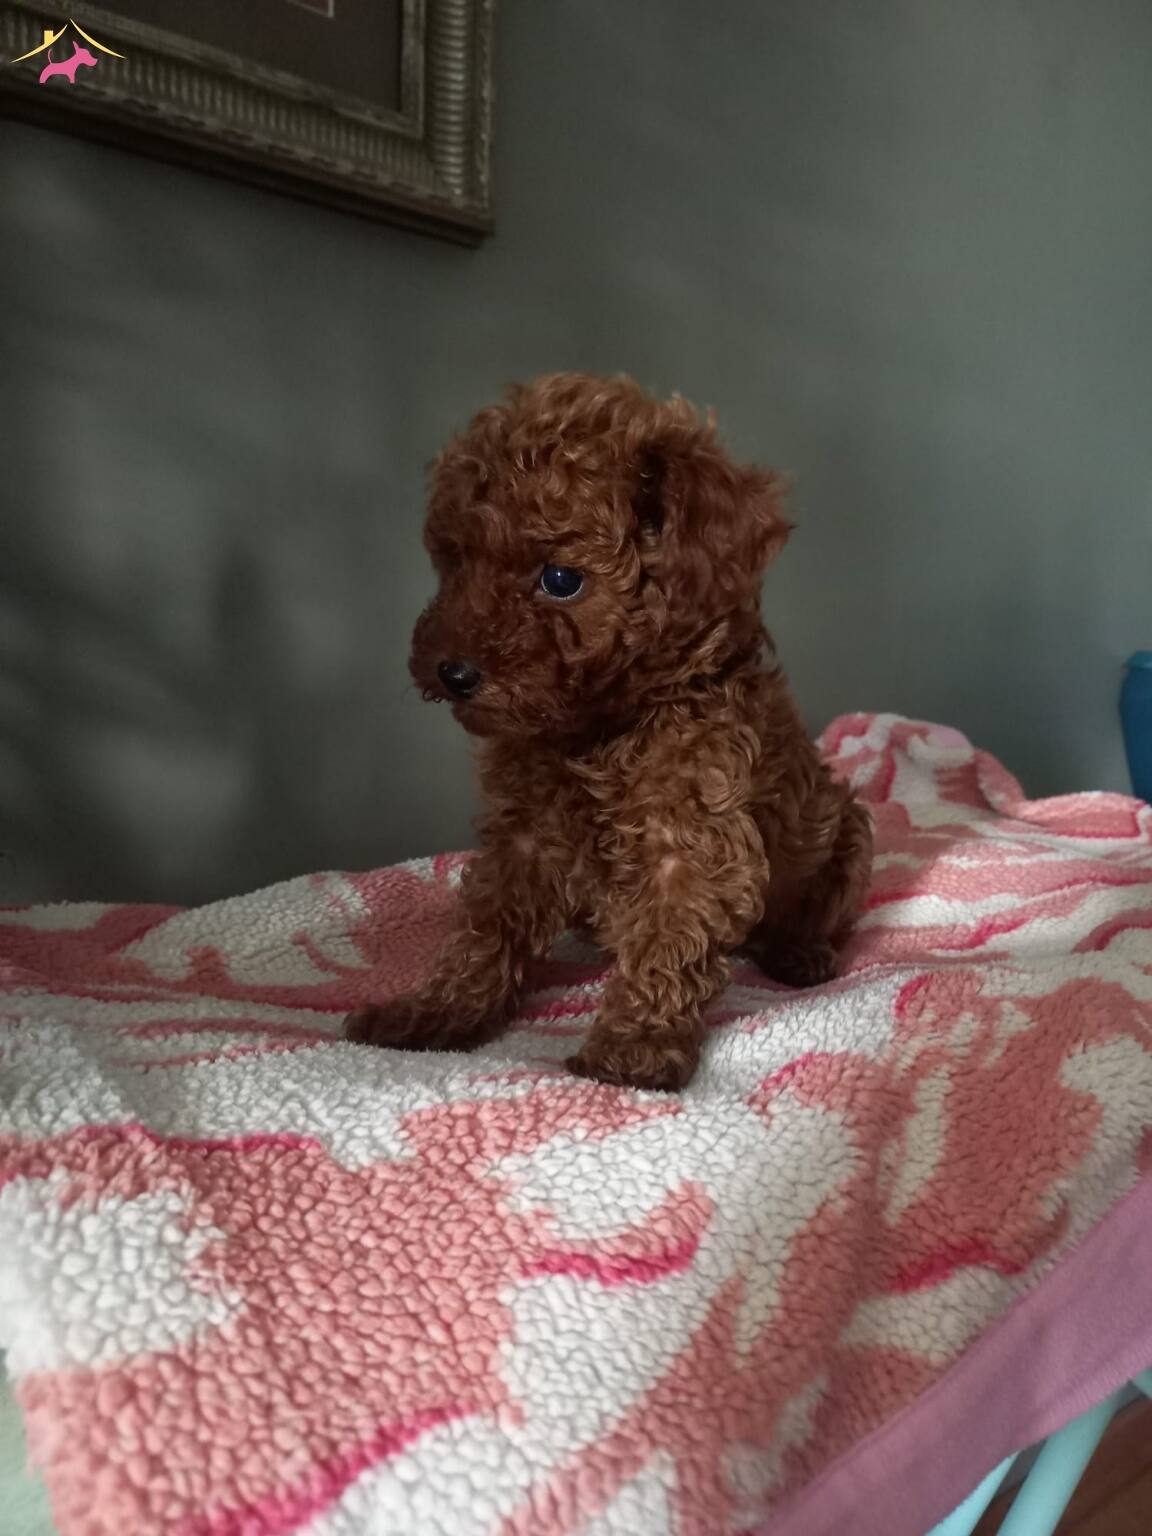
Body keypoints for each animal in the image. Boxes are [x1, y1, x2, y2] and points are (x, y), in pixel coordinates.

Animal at [346, 373, 872, 1090]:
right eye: (455, 562)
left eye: (561, 580)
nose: (453, 671)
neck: (597, 730)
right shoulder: (522, 843)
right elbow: (484, 933)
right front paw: (435, 1013)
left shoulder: (690, 844)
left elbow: (666, 943)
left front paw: (634, 1046)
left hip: (848, 835)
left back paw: (802, 952)